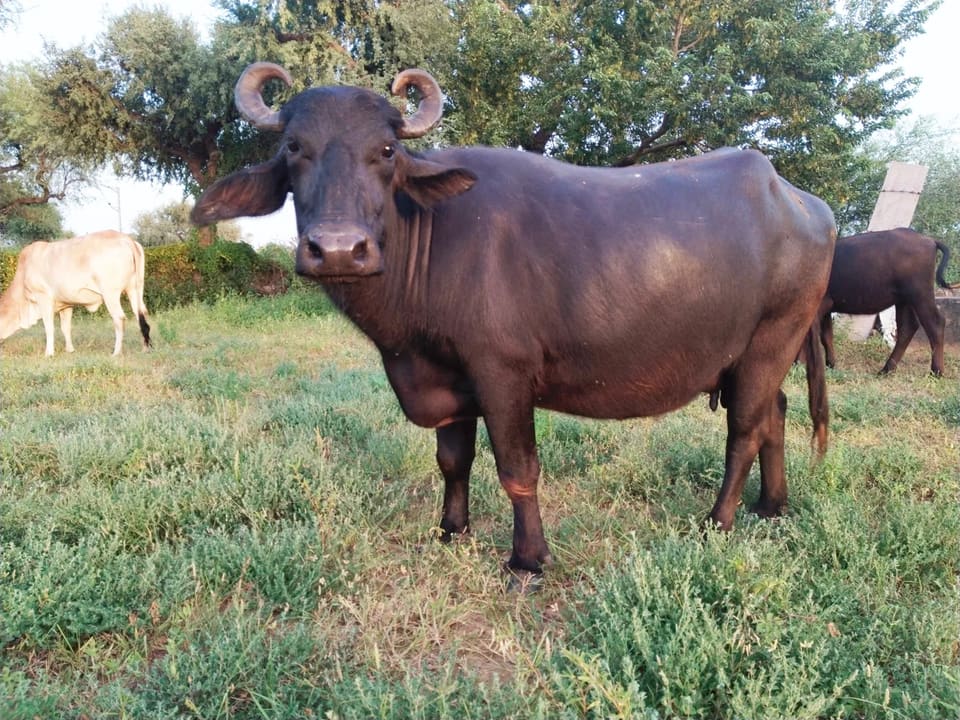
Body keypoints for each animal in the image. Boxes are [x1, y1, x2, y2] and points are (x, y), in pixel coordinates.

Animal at [192, 63, 836, 581]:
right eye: (294, 147)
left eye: (386, 152)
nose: (338, 250)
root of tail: (802, 202)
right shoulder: (447, 377)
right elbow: (453, 460)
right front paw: (451, 530)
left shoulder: (503, 374)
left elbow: (517, 468)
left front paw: (527, 558)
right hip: (761, 354)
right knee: (775, 415)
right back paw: (771, 506)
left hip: (770, 338)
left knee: (745, 429)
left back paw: (718, 520)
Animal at [818, 228, 958, 376]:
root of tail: (929, 240)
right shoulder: (825, 310)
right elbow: (826, 337)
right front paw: (830, 365)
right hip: (904, 301)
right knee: (907, 328)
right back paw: (887, 369)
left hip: (921, 295)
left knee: (935, 324)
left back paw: (936, 371)